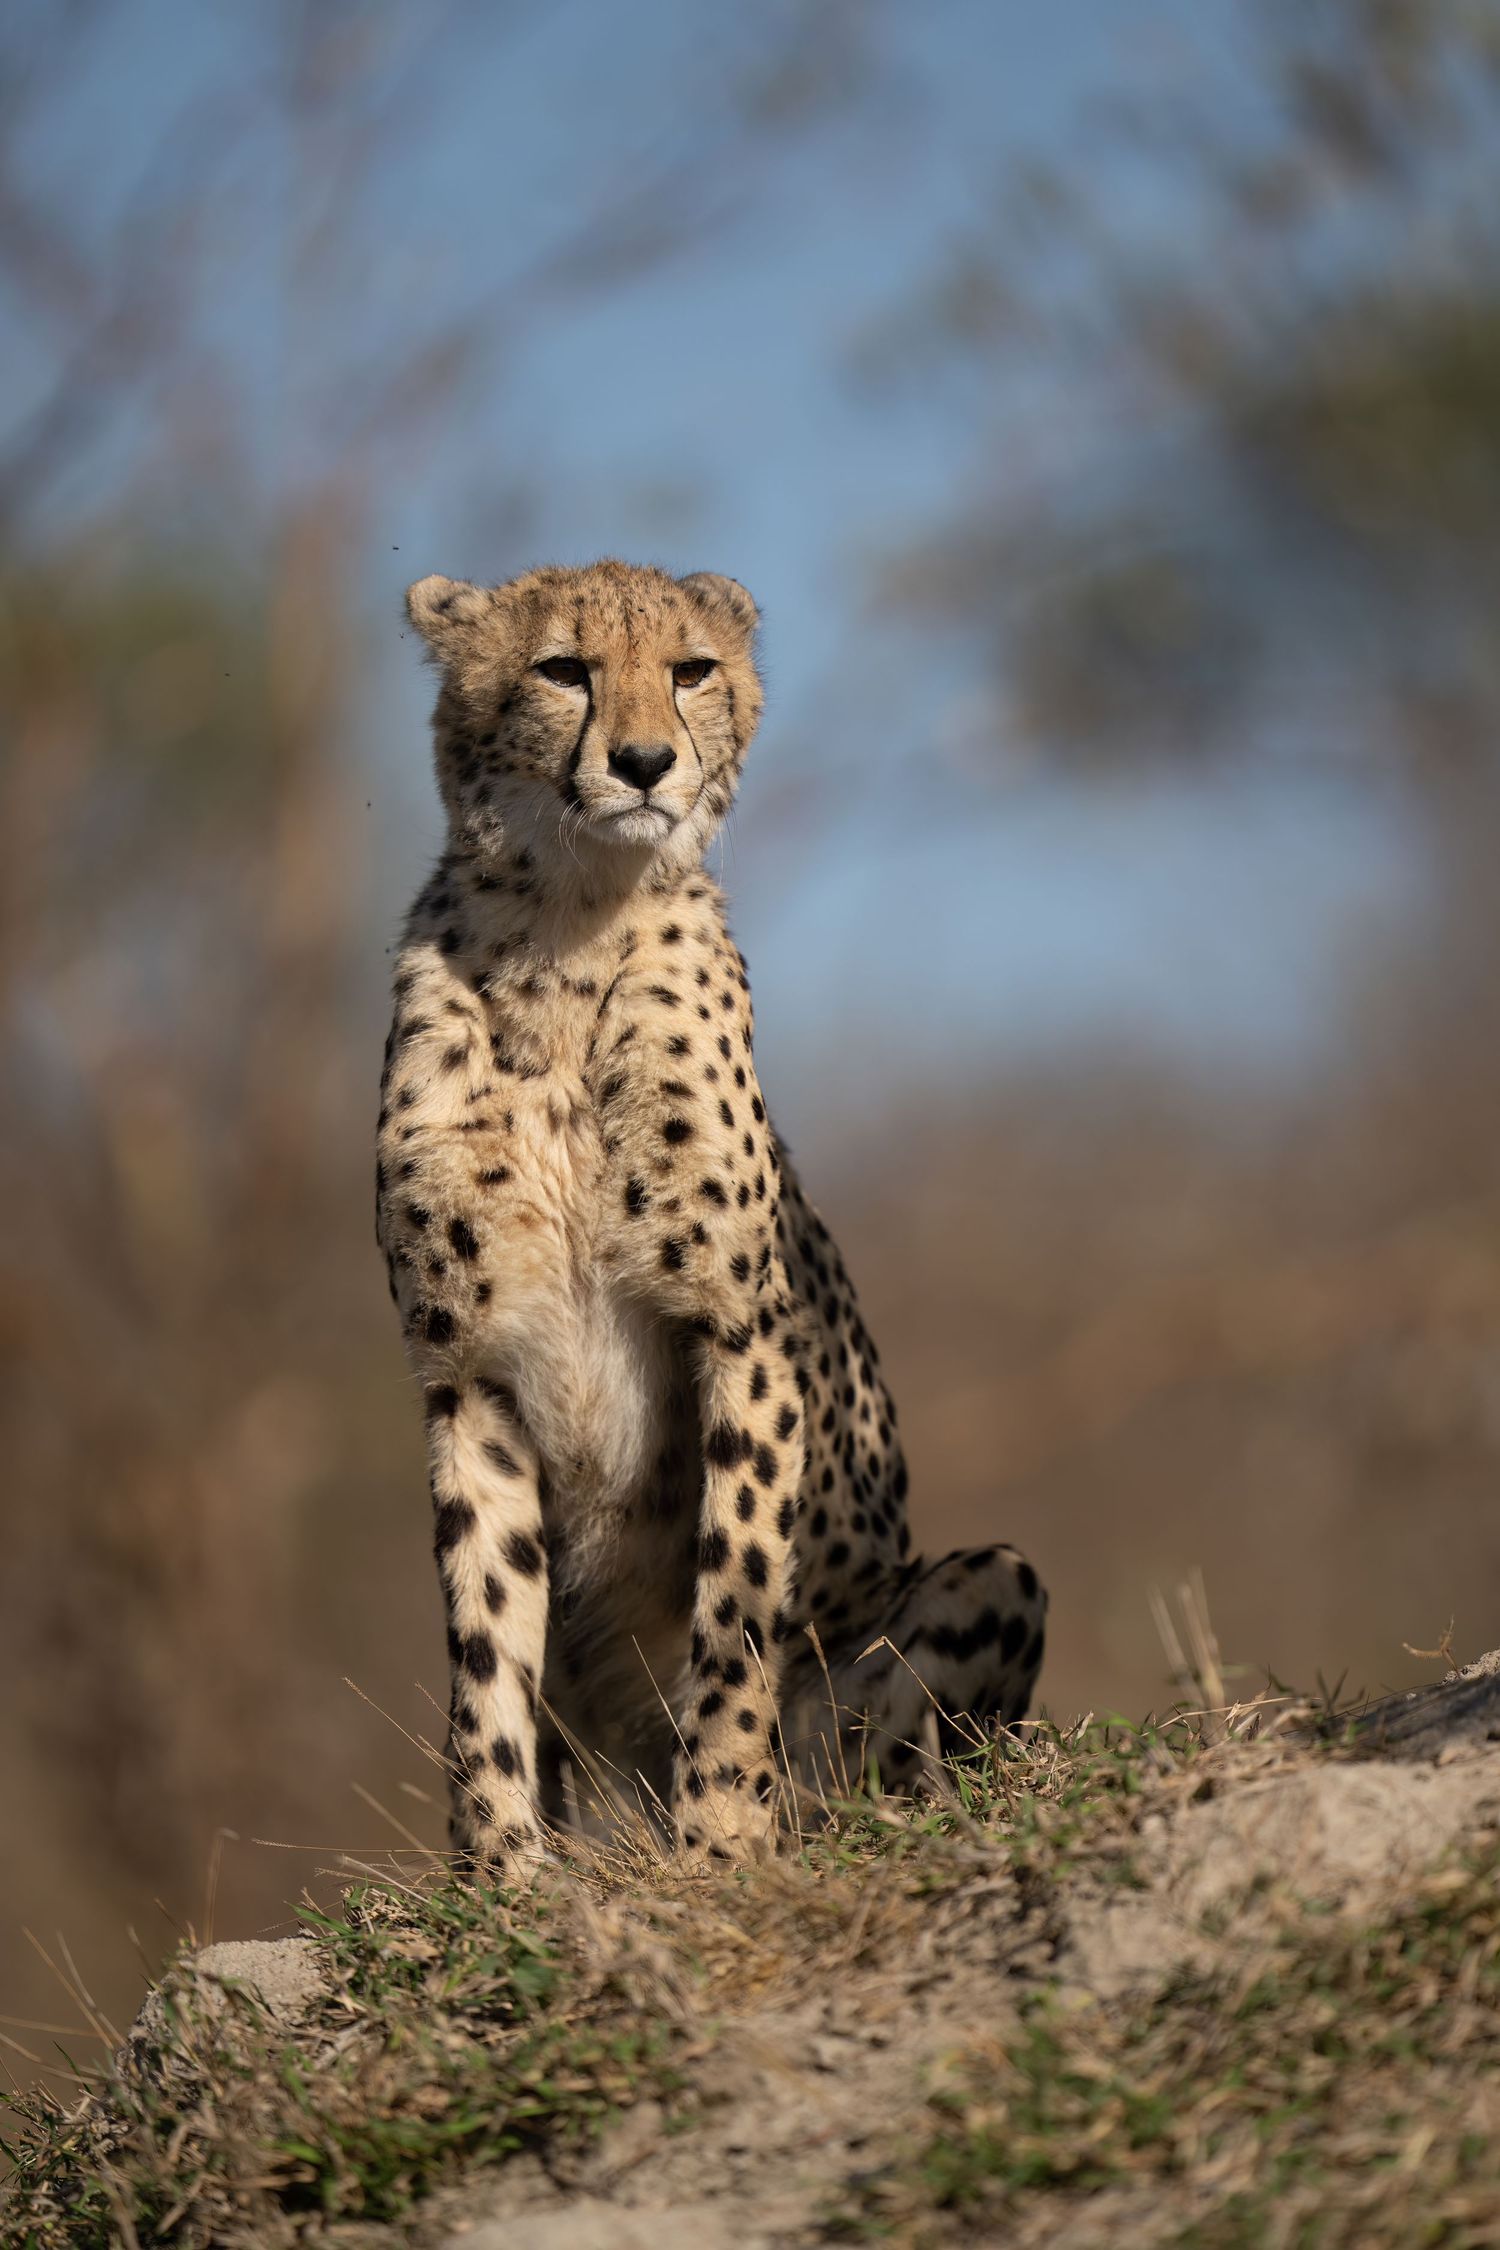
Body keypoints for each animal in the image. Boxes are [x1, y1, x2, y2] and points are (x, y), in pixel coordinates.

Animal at [375, 558, 1047, 1871]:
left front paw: (724, 1837)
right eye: (562, 668)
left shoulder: (740, 1330)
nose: (642, 763)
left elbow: (733, 1599)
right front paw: (500, 1874)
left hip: (992, 1585)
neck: (565, 942)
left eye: (691, 669)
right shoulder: (467, 1371)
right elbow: (485, 1642)